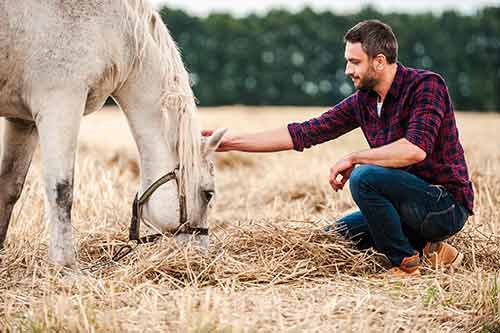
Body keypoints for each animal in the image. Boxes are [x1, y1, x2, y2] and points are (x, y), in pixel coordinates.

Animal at [0, 0, 225, 266]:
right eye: (208, 194)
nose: (200, 256)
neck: (120, 31)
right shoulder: (61, 103)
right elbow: (62, 190)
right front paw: (65, 264)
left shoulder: (23, 120)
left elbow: (9, 188)